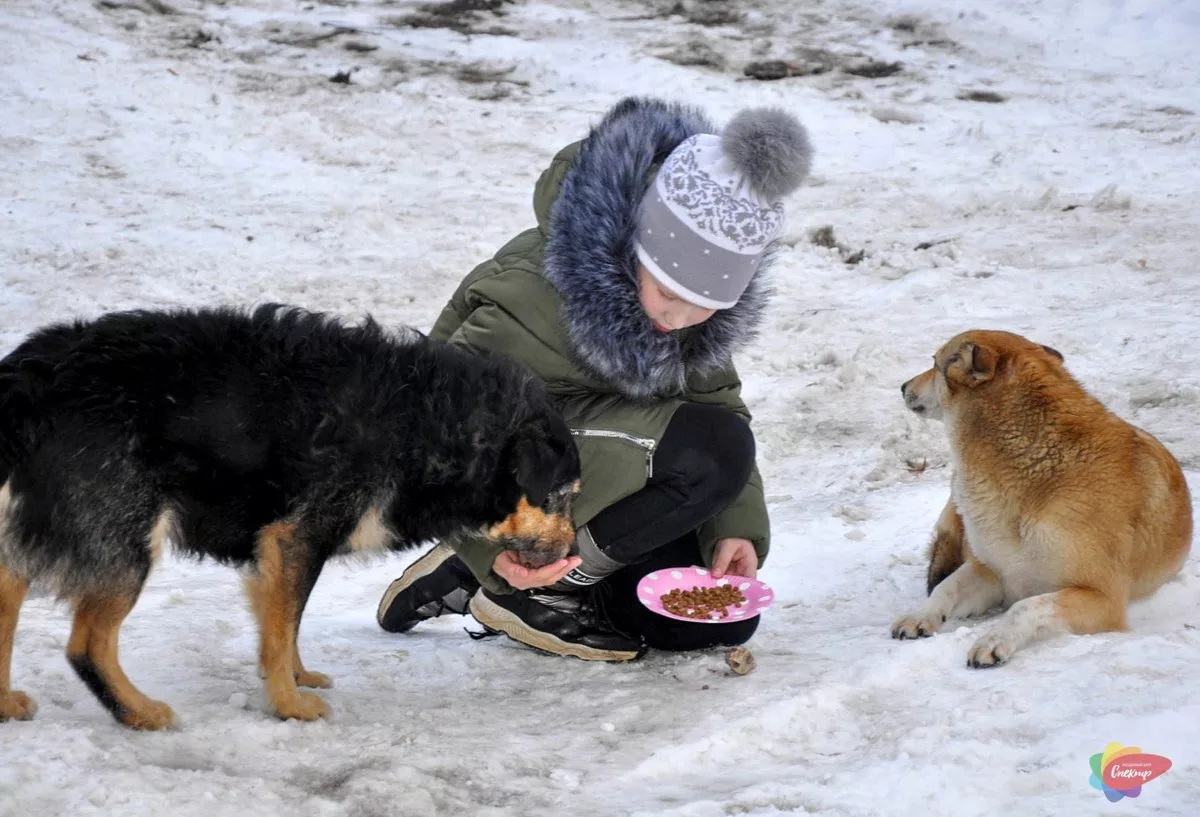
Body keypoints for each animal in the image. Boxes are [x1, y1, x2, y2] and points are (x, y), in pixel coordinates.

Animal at [0, 304, 580, 724]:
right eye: (560, 497)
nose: (575, 553)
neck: (431, 424)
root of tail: (30, 379)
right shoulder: (298, 536)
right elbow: (282, 632)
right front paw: (289, 705)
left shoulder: (279, 549)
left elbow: (284, 627)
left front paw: (296, 680)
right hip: (124, 539)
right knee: (87, 645)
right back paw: (138, 713)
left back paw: (7, 703)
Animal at [892, 328, 1190, 667]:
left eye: (935, 364)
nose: (903, 386)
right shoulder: (993, 571)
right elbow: (945, 587)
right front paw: (920, 616)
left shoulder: (1102, 597)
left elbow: (1025, 607)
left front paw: (993, 640)